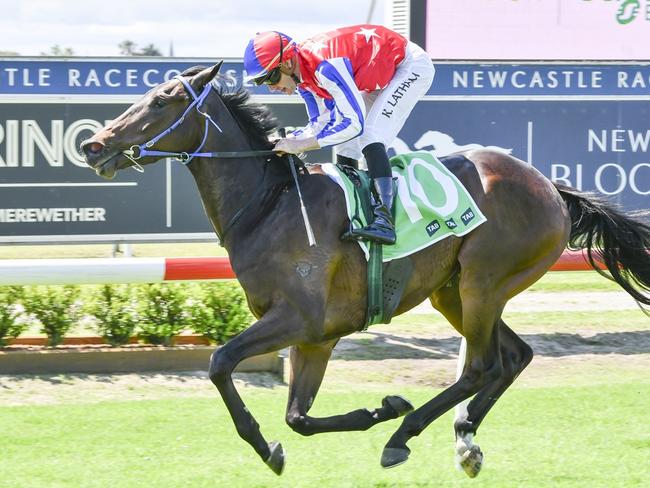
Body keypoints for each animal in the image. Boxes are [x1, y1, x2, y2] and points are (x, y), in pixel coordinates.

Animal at [79, 63, 648, 476]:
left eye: (161, 100)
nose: (93, 144)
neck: (270, 204)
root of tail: (552, 188)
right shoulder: (316, 338)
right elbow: (298, 417)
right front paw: (376, 410)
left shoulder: (299, 320)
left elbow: (220, 364)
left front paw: (269, 447)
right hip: (454, 291)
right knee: (514, 357)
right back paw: (463, 437)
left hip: (483, 281)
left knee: (482, 366)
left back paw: (405, 435)